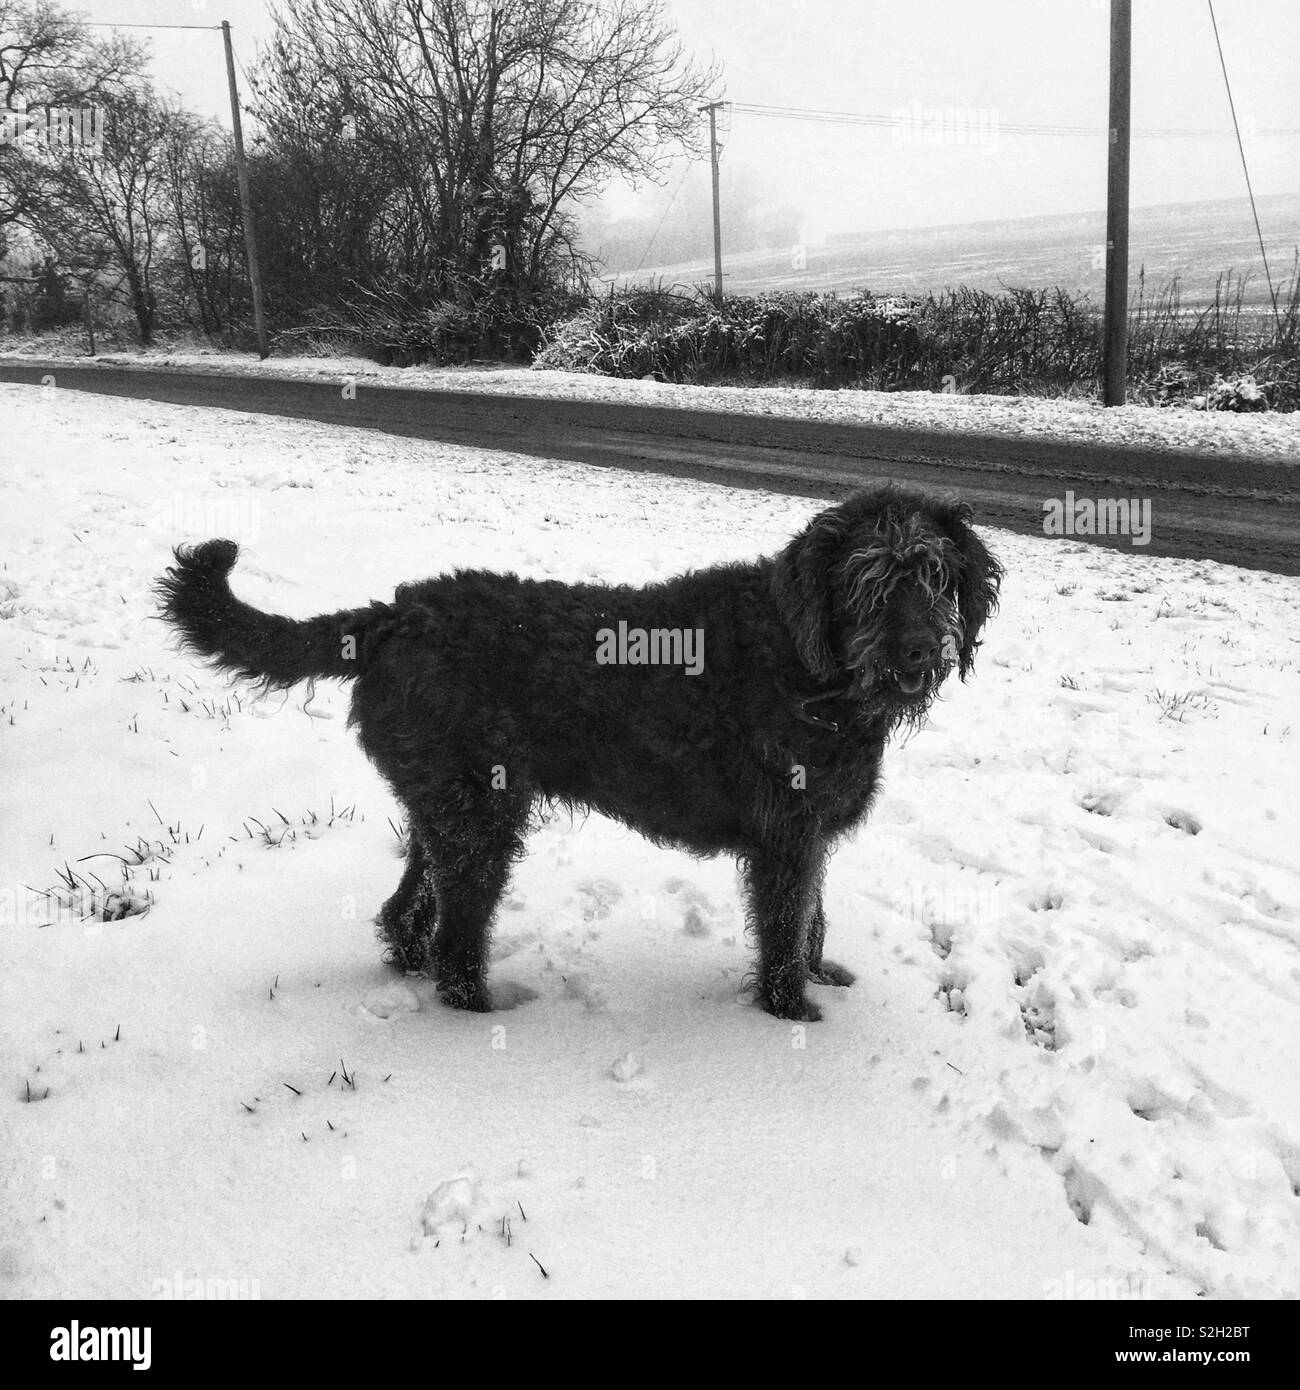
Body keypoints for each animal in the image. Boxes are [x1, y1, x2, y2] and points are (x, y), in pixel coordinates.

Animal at [157, 486, 1001, 1023]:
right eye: (868, 580)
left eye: (935, 574)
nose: (920, 652)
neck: (810, 663)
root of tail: (393, 615)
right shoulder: (786, 840)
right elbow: (787, 933)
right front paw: (793, 1016)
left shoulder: (811, 834)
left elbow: (814, 921)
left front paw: (822, 976)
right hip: (480, 819)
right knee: (457, 945)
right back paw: (483, 1013)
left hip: (448, 807)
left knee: (407, 914)